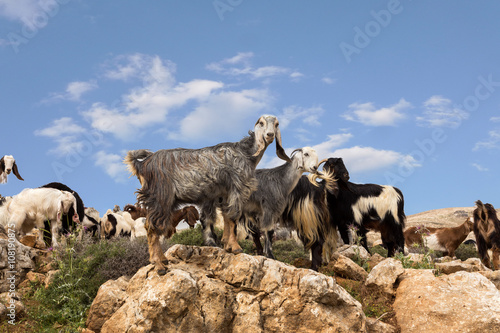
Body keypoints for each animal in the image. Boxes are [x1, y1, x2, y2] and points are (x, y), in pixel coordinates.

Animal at [124, 114, 290, 274]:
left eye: (276, 124)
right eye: (261, 123)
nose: (270, 135)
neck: (245, 153)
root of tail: (142, 164)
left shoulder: (224, 194)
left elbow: (227, 218)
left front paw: (227, 246)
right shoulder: (236, 188)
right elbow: (233, 218)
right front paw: (236, 248)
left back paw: (163, 260)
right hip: (160, 198)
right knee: (151, 227)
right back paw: (159, 266)